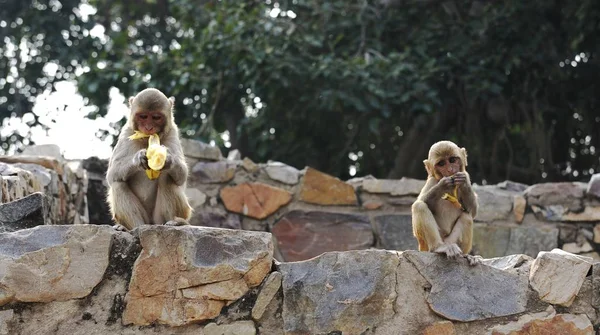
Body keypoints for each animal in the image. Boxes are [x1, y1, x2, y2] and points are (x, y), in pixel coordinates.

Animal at [106, 88, 192, 231]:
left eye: (156, 117)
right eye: (143, 116)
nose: (148, 128)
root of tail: (151, 223)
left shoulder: (172, 133)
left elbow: (182, 176)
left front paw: (169, 160)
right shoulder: (126, 133)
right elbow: (112, 174)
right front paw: (137, 159)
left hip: (168, 216)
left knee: (167, 177)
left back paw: (175, 222)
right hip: (145, 218)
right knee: (118, 184)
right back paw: (133, 228)